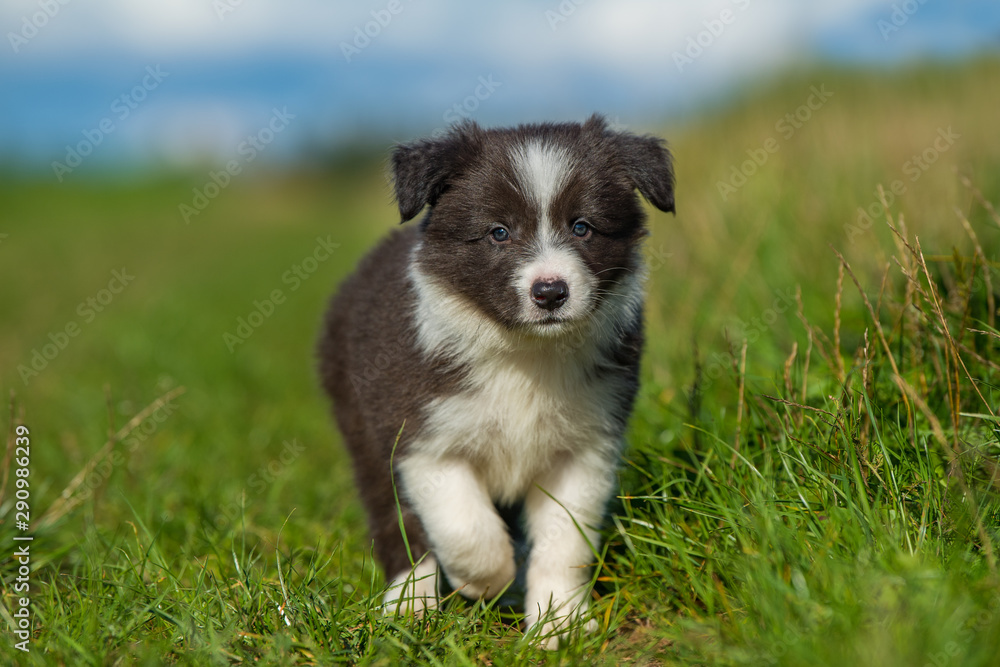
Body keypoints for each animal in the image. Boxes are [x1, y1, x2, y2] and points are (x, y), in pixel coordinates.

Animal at [320, 113, 676, 648]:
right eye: (499, 232)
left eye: (582, 227)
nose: (550, 292)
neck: (524, 353)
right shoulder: (423, 438)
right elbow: (465, 528)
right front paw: (486, 582)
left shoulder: (583, 448)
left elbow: (565, 542)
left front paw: (560, 624)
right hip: (361, 428)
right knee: (397, 524)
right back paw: (408, 610)